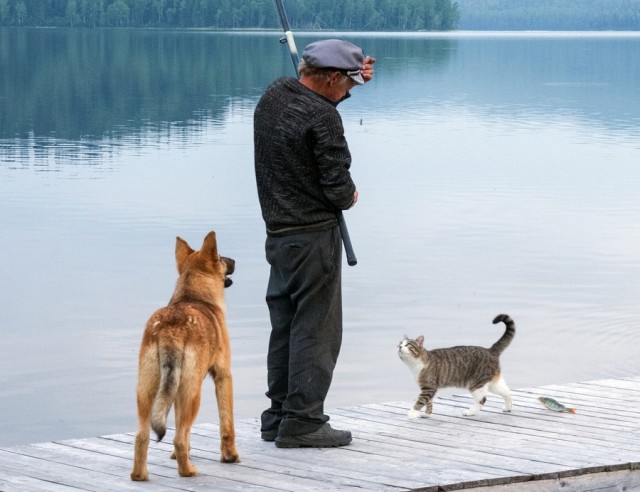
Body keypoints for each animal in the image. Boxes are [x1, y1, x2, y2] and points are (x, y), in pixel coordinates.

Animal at [131, 232, 240, 480]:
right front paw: (230, 456)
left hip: (147, 390)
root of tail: (171, 328)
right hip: (192, 393)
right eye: (221, 257)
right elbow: (226, 425)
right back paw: (188, 471)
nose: (234, 261)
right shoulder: (223, 376)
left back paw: (140, 476)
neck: (194, 297)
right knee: (179, 437)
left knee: (143, 436)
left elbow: (185, 429)